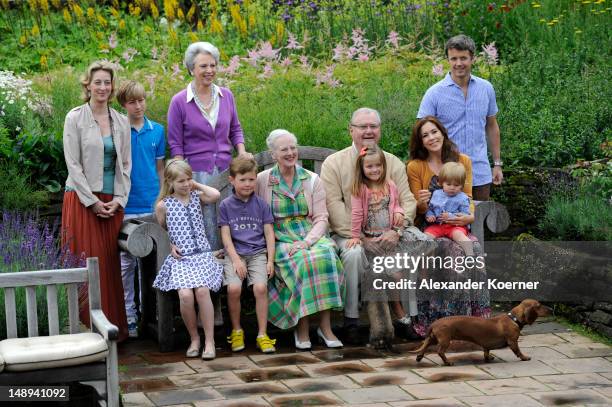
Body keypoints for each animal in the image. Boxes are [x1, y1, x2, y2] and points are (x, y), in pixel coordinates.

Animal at [414, 300, 552, 366]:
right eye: (539, 305)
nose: (551, 309)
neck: (513, 318)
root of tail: (434, 323)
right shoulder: (513, 341)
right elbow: (518, 351)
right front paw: (524, 357)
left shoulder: (486, 345)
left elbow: (486, 351)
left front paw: (488, 357)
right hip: (445, 340)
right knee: (440, 351)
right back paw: (447, 362)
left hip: (433, 338)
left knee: (425, 345)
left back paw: (419, 356)